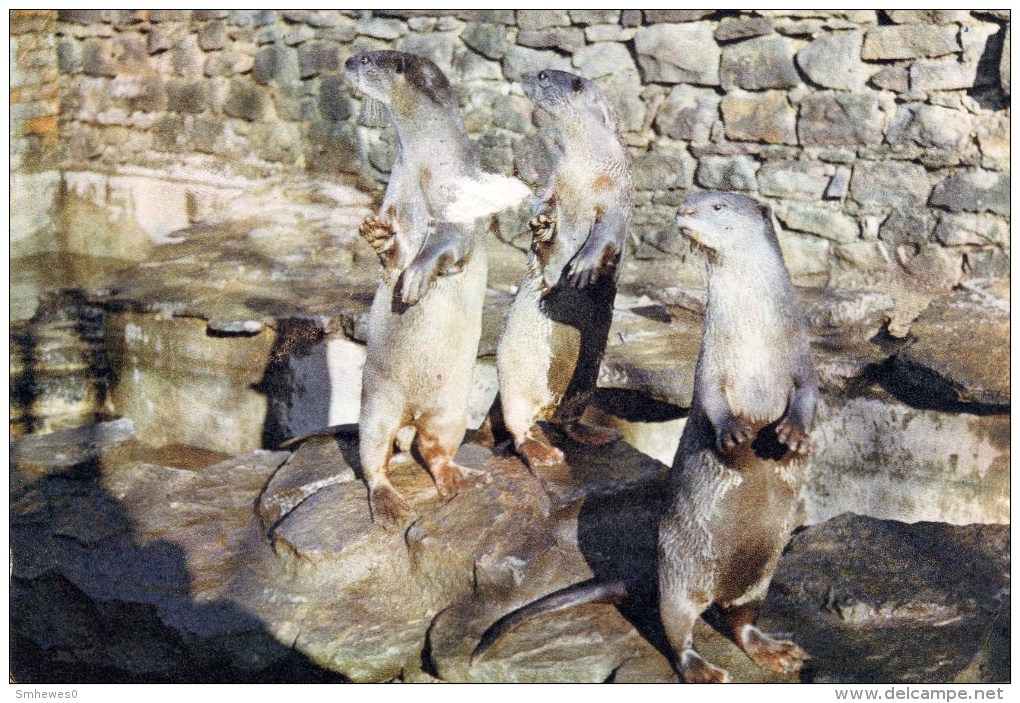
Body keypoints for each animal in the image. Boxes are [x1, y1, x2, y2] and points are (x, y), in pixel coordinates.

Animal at [346, 50, 530, 520]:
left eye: (370, 58)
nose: (348, 59)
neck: (423, 168)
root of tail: (412, 413)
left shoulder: (460, 207)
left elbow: (446, 244)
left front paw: (413, 281)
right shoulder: (395, 198)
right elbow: (394, 248)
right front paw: (376, 234)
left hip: (451, 410)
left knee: (435, 450)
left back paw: (457, 480)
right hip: (377, 404)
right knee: (374, 457)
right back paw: (390, 502)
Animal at [473, 190, 816, 681]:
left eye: (717, 206)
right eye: (693, 197)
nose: (684, 209)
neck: (756, 338)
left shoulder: (801, 357)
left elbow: (808, 394)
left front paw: (793, 434)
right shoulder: (710, 364)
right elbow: (710, 399)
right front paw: (734, 432)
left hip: (760, 577)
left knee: (741, 622)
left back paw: (775, 650)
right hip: (679, 572)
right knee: (679, 629)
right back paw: (704, 670)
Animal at [497, 69, 632, 465]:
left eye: (543, 75)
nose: (524, 74)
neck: (586, 171)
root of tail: (548, 408)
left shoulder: (616, 198)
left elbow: (604, 235)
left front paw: (583, 268)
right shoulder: (555, 183)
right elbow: (543, 204)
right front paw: (540, 223)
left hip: (585, 383)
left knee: (568, 420)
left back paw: (597, 434)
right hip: (512, 381)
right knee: (519, 429)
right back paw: (543, 453)